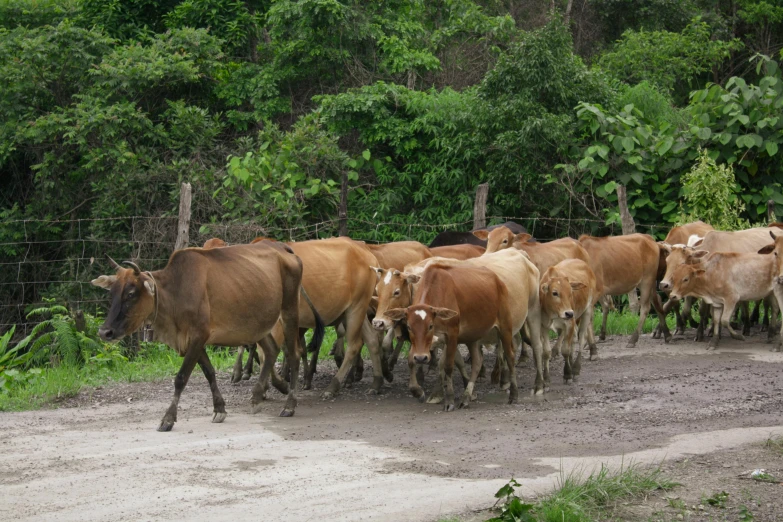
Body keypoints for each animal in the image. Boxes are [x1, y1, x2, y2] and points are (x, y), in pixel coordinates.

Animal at [92, 240, 324, 426]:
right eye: (112, 293)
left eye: (131, 294)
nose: (105, 332)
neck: (176, 292)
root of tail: (281, 247)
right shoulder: (193, 341)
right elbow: (209, 372)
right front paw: (219, 409)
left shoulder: (198, 335)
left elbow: (181, 377)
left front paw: (168, 418)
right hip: (259, 321)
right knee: (271, 350)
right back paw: (257, 397)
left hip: (289, 311)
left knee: (293, 354)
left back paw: (289, 405)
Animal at [382, 264, 516, 410]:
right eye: (409, 327)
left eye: (430, 326)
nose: (422, 358)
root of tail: (498, 280)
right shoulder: (419, 344)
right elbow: (411, 361)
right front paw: (418, 391)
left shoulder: (452, 335)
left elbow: (448, 366)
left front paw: (450, 400)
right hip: (472, 337)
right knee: (477, 362)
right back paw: (465, 398)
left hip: (505, 328)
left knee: (510, 357)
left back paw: (513, 395)